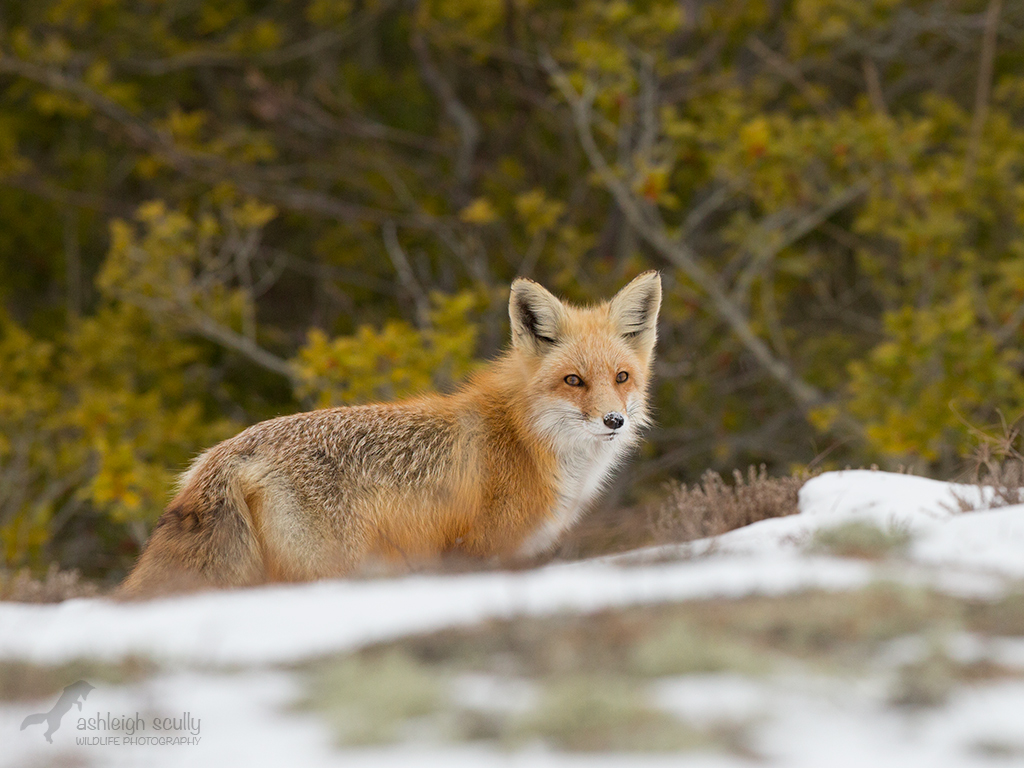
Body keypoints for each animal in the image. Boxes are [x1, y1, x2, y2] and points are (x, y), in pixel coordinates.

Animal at [120, 271, 661, 596]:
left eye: (621, 378)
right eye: (573, 381)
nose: (614, 421)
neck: (527, 438)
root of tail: (230, 449)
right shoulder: (482, 553)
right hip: (325, 571)